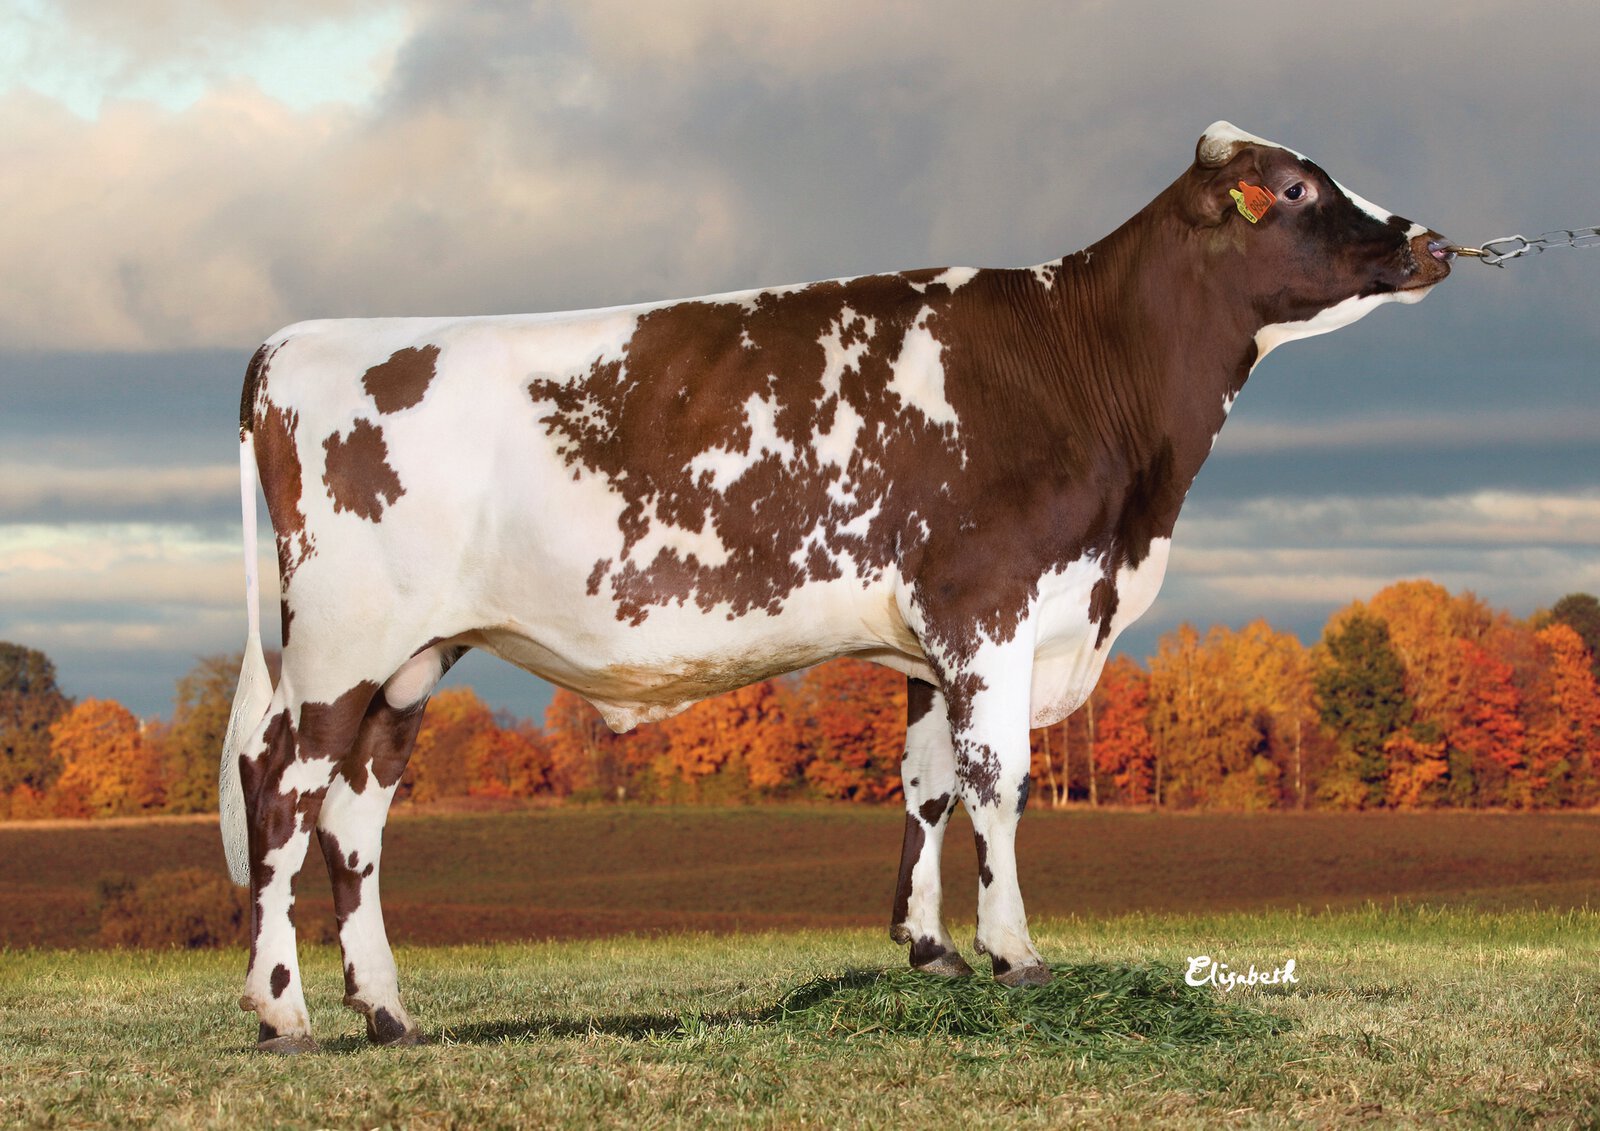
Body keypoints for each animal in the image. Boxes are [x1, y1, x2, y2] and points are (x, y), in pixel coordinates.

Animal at [220, 122, 1455, 1052]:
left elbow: (925, 785)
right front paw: (1016, 955)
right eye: (1295, 186)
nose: (1431, 241)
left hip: (412, 658)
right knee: (279, 789)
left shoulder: (935, 640)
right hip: (338, 644)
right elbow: (997, 781)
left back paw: (387, 1011)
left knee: (354, 817)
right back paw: (282, 1013)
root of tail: (293, 345)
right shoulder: (987, 605)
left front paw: (931, 950)